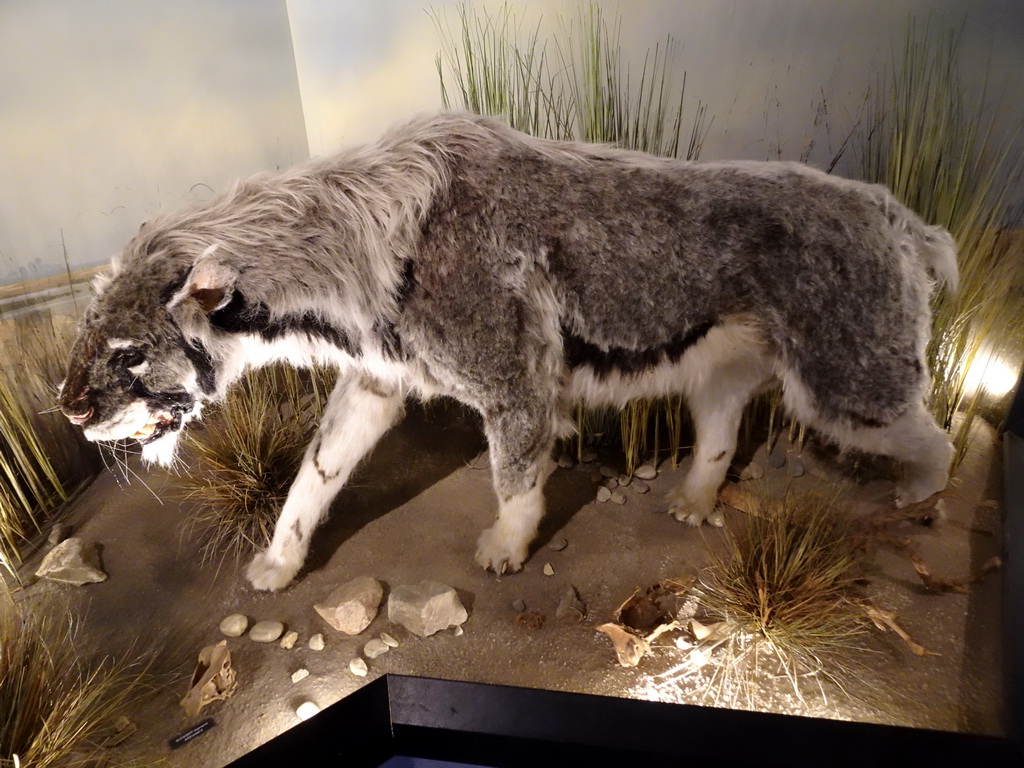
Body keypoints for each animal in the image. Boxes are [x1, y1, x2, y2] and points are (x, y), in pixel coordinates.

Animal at [59, 112, 954, 589]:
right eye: (85, 333)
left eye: (129, 352)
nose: (68, 409)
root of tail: (905, 219)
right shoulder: (375, 385)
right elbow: (313, 477)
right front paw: (278, 565)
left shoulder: (515, 383)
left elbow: (516, 479)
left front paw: (503, 551)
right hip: (723, 378)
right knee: (720, 440)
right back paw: (694, 503)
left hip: (847, 386)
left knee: (938, 440)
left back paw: (917, 499)